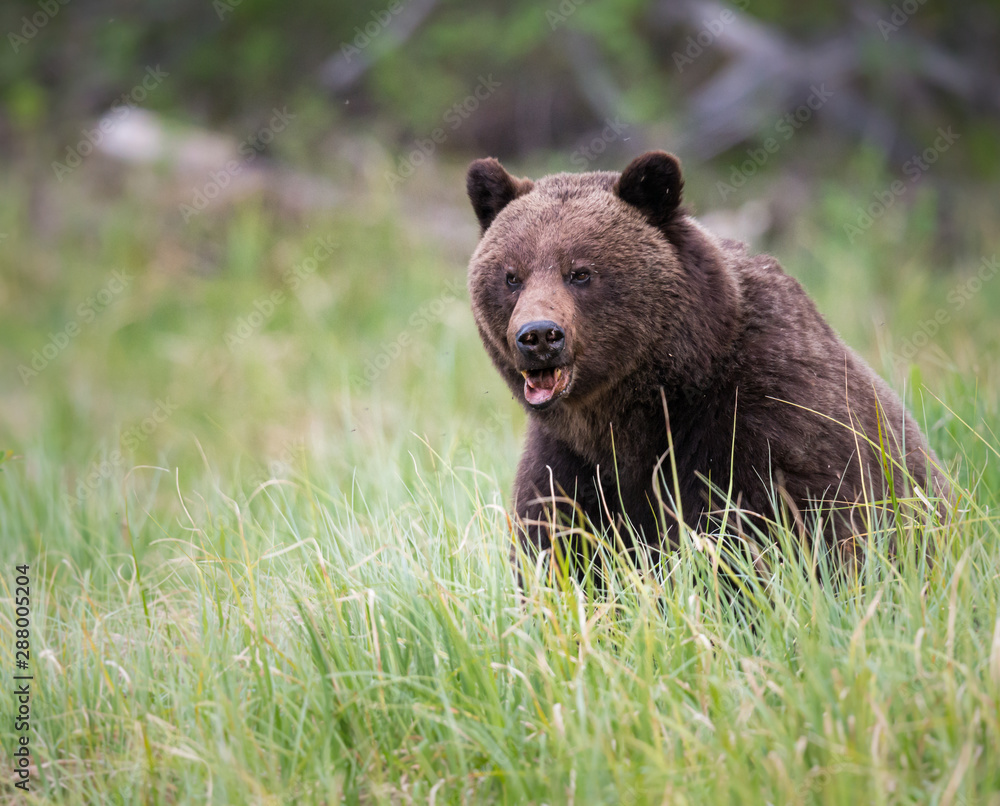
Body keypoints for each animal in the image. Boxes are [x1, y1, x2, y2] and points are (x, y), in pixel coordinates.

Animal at [464, 152, 948, 576]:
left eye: (580, 272)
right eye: (512, 276)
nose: (539, 335)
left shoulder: (766, 422)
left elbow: (782, 535)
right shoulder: (569, 461)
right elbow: (558, 547)